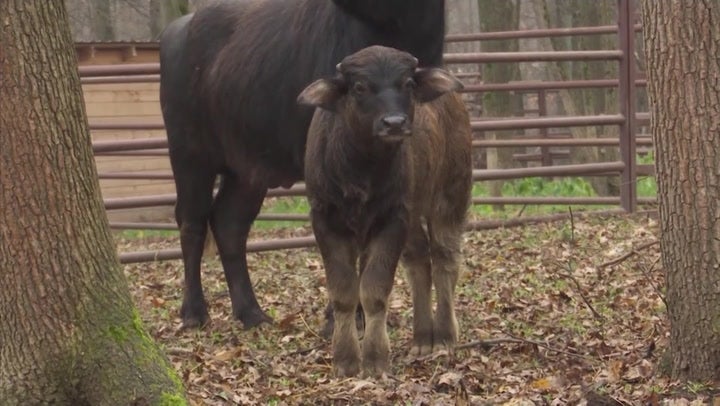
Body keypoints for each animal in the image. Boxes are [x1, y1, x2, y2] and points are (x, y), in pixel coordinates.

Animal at [159, 0, 448, 330]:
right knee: (191, 223)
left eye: (409, 84)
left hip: (246, 171)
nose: (393, 122)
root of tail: (177, 30)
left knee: (229, 223)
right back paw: (194, 312)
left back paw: (251, 312)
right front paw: (339, 318)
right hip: (190, 157)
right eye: (359, 87)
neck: (394, 24)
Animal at [297, 45, 472, 377]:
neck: (361, 169)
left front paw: (375, 359)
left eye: (408, 84)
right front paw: (345, 360)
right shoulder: (326, 220)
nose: (394, 123)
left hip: (450, 195)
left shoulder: (392, 219)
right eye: (359, 87)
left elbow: (374, 289)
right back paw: (422, 338)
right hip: (413, 215)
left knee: (444, 258)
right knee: (418, 261)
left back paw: (443, 335)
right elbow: (344, 292)